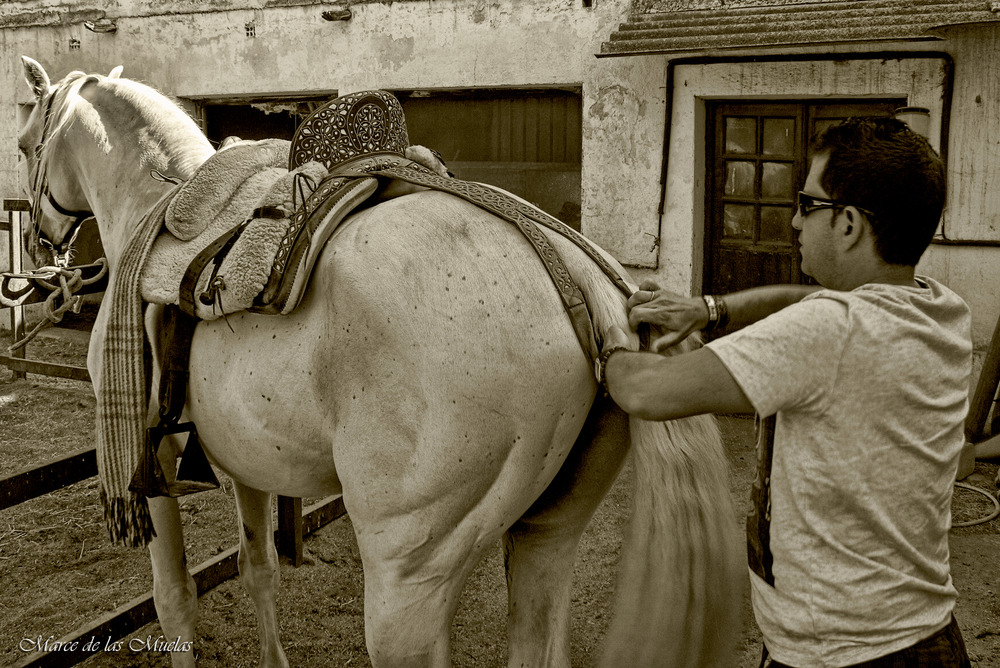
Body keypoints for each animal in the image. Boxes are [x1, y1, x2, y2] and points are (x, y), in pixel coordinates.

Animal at [17, 54, 744, 664]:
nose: (37, 244)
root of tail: (575, 268)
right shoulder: (245, 457)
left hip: (408, 577)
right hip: (548, 539)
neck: (154, 208)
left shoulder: (153, 458)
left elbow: (175, 601)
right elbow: (258, 570)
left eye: (24, 144)